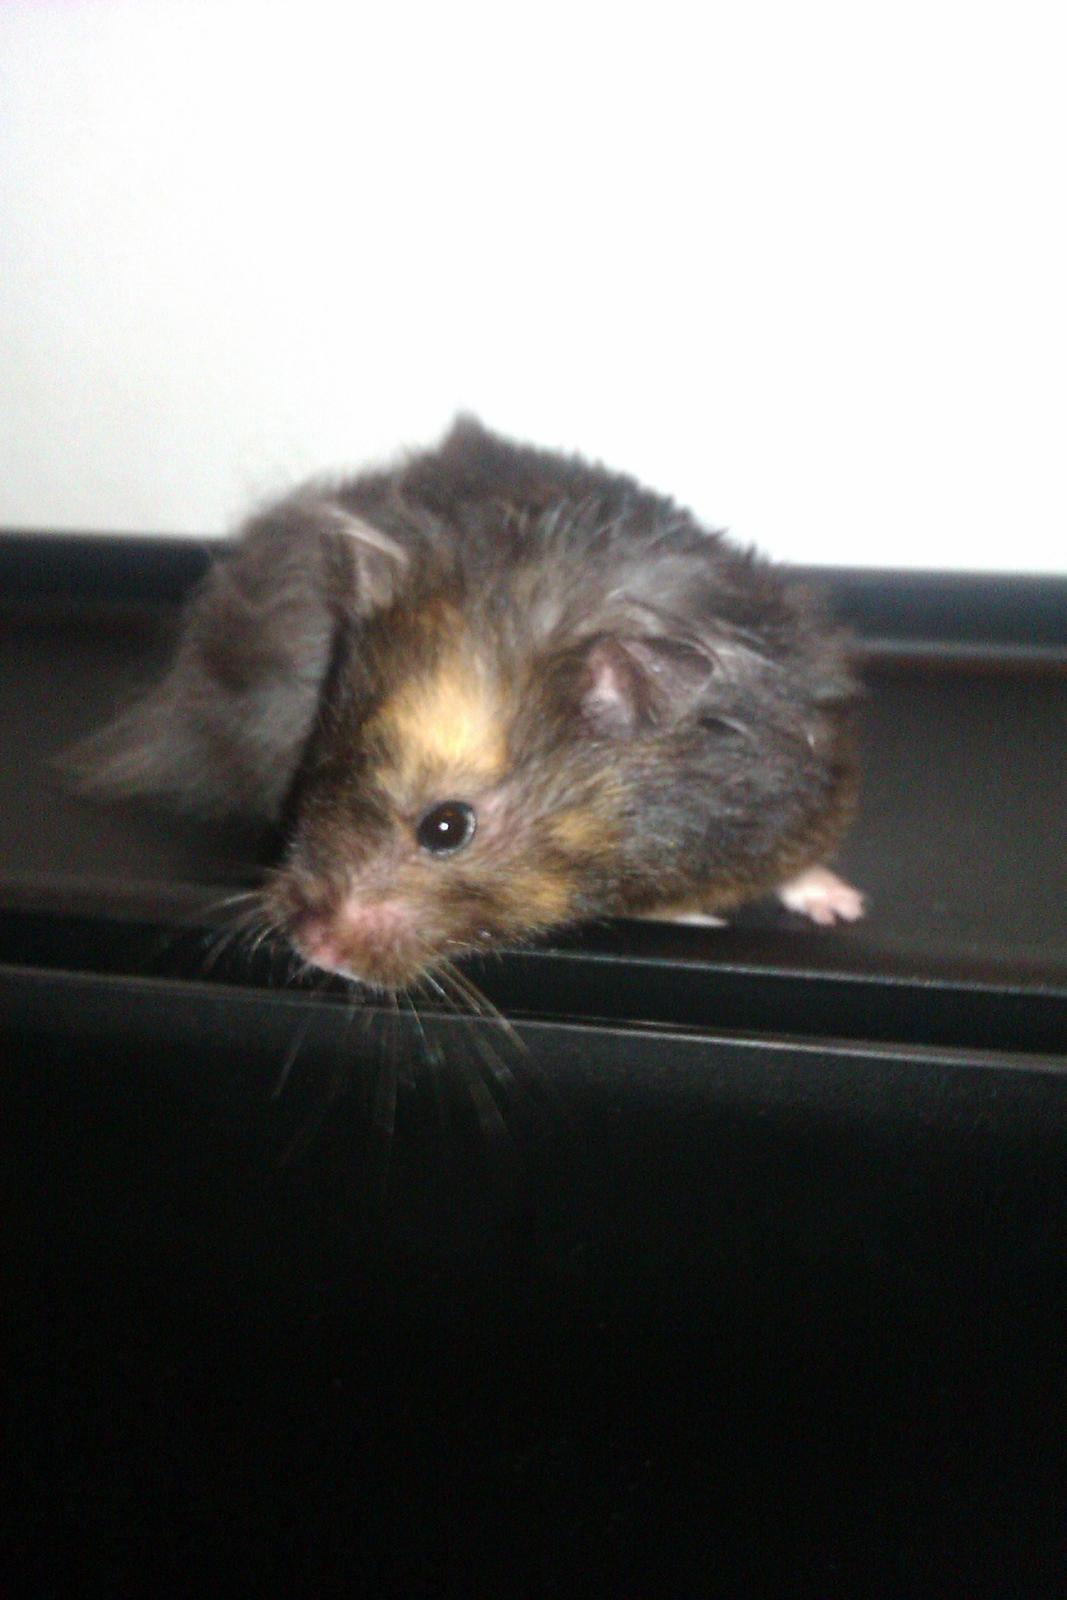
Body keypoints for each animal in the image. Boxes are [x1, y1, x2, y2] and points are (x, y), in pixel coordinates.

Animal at [75, 417, 864, 990]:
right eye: (315, 772)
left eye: (446, 828)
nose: (311, 949)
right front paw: (701, 920)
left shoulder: (800, 799)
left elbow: (793, 866)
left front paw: (842, 907)